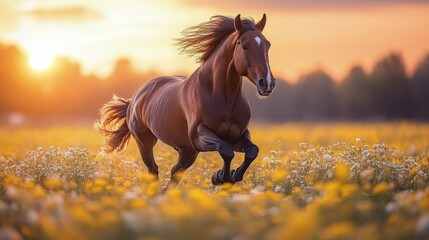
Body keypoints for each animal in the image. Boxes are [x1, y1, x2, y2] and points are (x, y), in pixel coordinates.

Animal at [96, 14, 276, 188]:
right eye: (245, 46)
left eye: (268, 45)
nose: (267, 83)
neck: (225, 100)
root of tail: (136, 97)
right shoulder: (199, 136)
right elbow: (226, 151)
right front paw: (221, 177)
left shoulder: (238, 135)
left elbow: (252, 151)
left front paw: (229, 176)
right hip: (145, 142)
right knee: (154, 170)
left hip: (187, 151)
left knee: (175, 173)